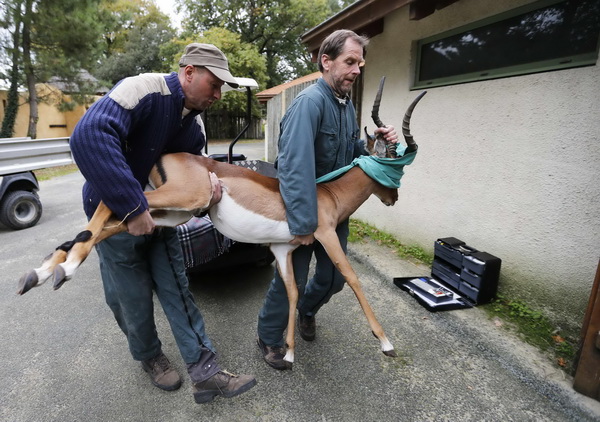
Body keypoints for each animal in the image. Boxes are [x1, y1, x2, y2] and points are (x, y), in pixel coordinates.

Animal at [17, 81, 426, 366]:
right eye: (396, 168)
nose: (394, 198)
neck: (327, 196)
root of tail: (171, 154)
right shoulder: (325, 236)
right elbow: (353, 278)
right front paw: (386, 343)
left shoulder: (282, 250)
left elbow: (293, 293)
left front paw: (288, 353)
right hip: (179, 200)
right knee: (110, 201)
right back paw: (62, 269)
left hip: (172, 212)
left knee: (113, 220)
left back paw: (43, 272)